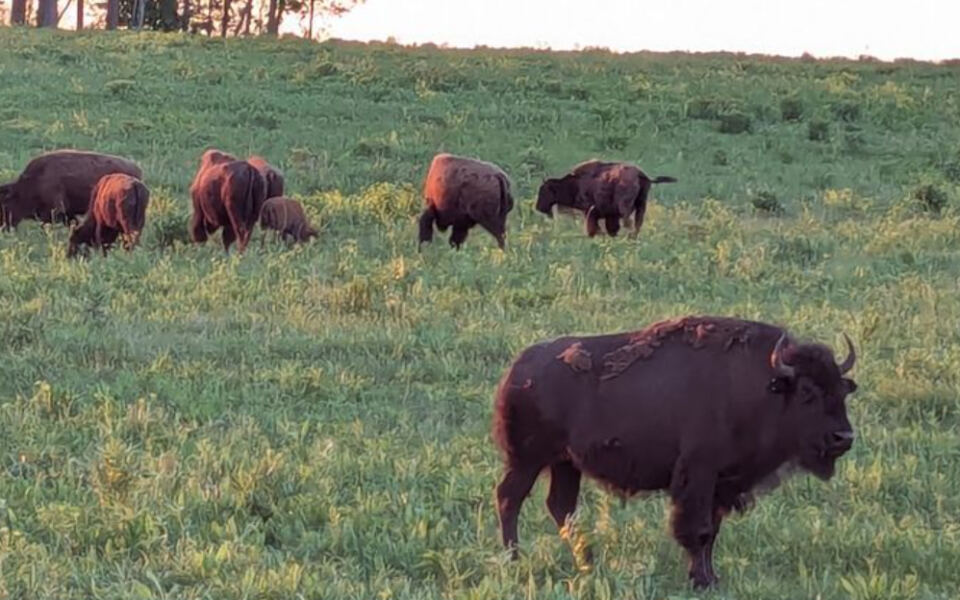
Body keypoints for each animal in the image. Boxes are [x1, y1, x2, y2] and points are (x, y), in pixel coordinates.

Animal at [492, 316, 857, 588]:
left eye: (842, 391)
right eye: (807, 392)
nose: (844, 437)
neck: (764, 387)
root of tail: (517, 370)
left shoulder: (720, 484)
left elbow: (712, 532)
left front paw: (711, 577)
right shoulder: (698, 476)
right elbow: (698, 530)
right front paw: (702, 581)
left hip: (566, 463)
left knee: (561, 506)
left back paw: (587, 562)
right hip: (528, 460)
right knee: (510, 497)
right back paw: (514, 559)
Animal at [536, 160, 676, 237]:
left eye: (543, 191)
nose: (538, 207)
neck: (576, 182)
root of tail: (641, 175)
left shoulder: (590, 211)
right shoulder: (609, 215)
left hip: (625, 207)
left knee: (629, 222)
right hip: (642, 204)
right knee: (637, 223)